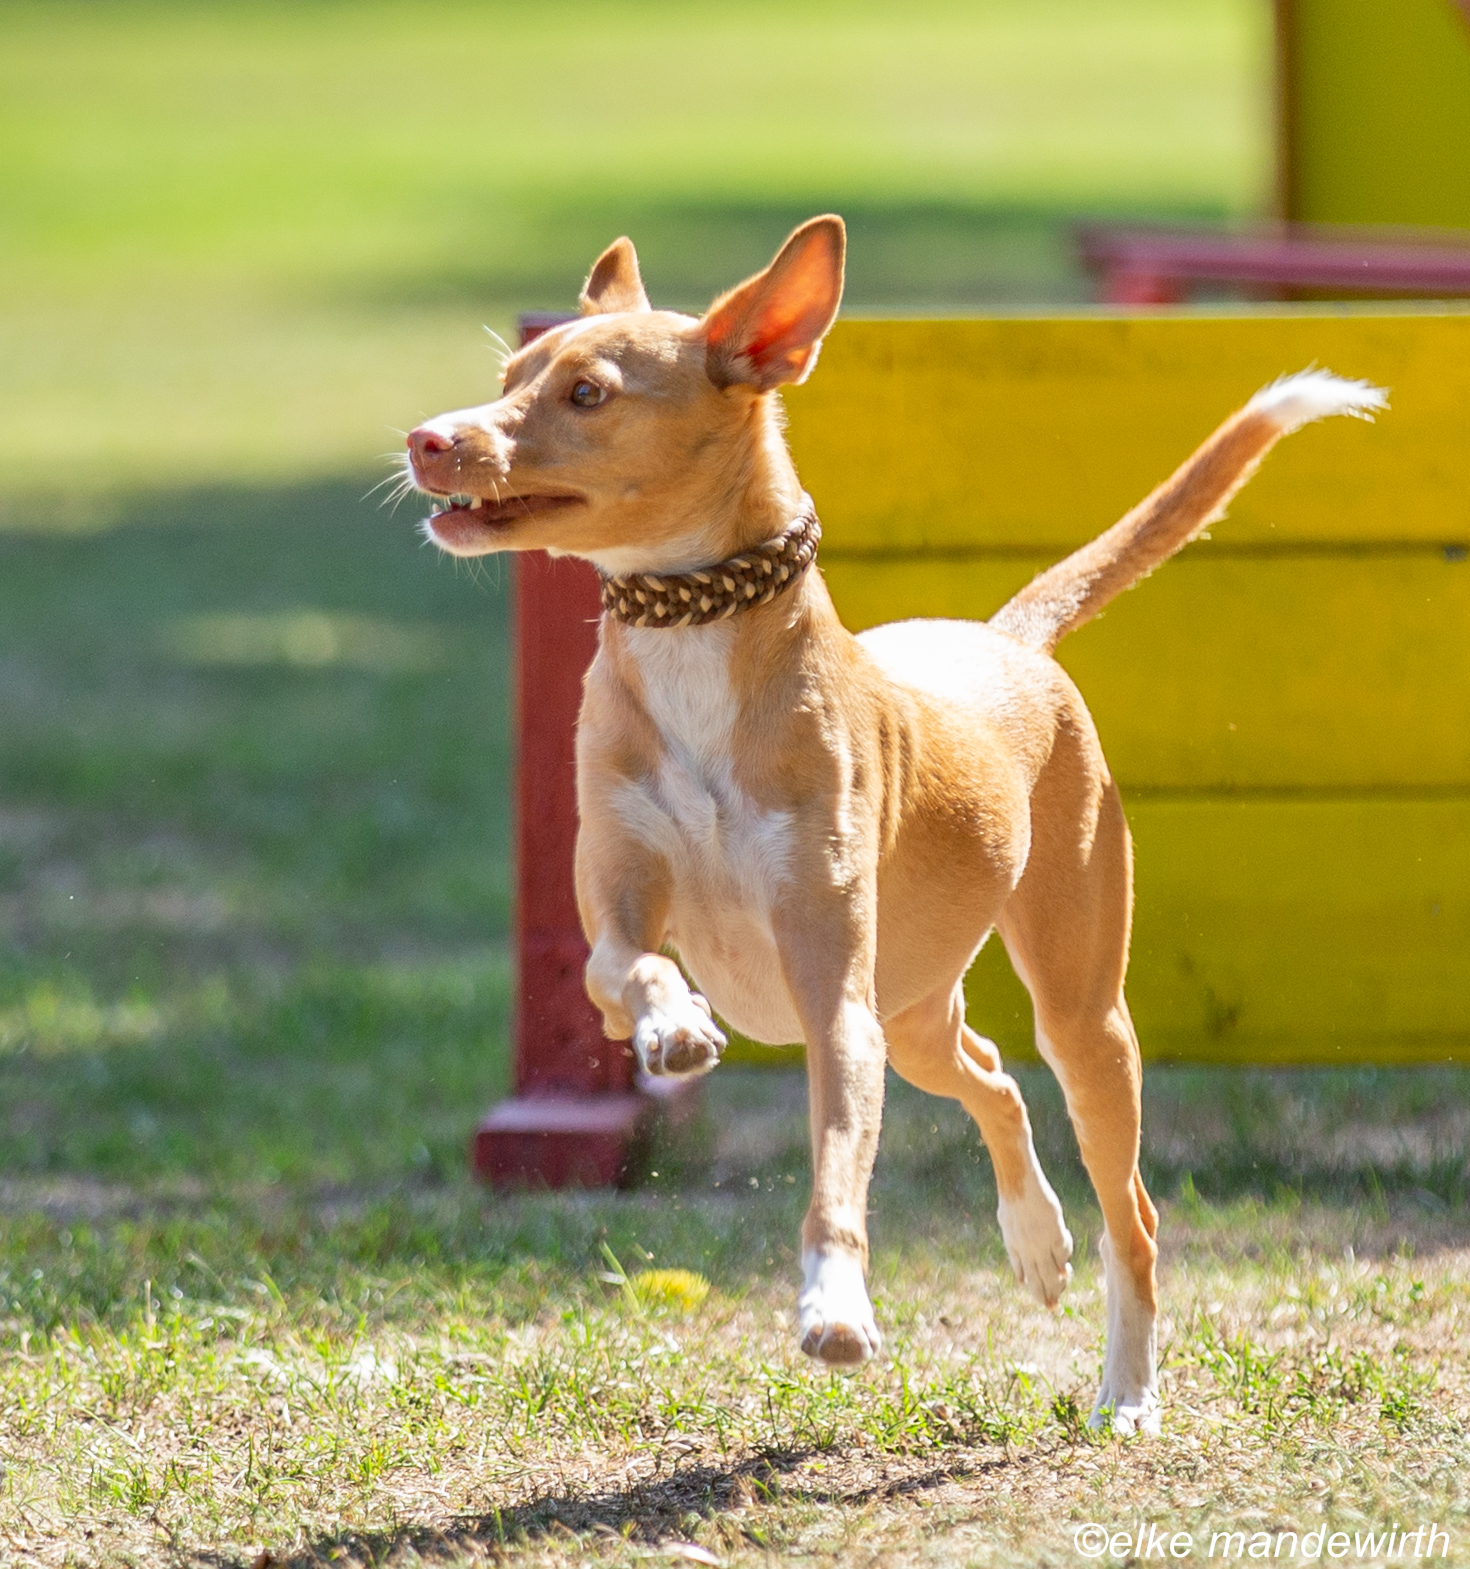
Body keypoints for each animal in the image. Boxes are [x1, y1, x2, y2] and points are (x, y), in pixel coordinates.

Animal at [406, 216, 1383, 1434]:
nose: (426, 440)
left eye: (587, 393)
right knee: (994, 1075)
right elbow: (620, 967)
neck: (693, 643)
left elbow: (835, 1179)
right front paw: (674, 1028)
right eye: (507, 381)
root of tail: (1006, 639)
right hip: (916, 1016)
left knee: (1133, 1213)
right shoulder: (623, 900)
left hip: (1074, 1017)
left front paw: (835, 1309)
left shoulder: (837, 1008)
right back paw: (1036, 1241)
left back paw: (1126, 1389)